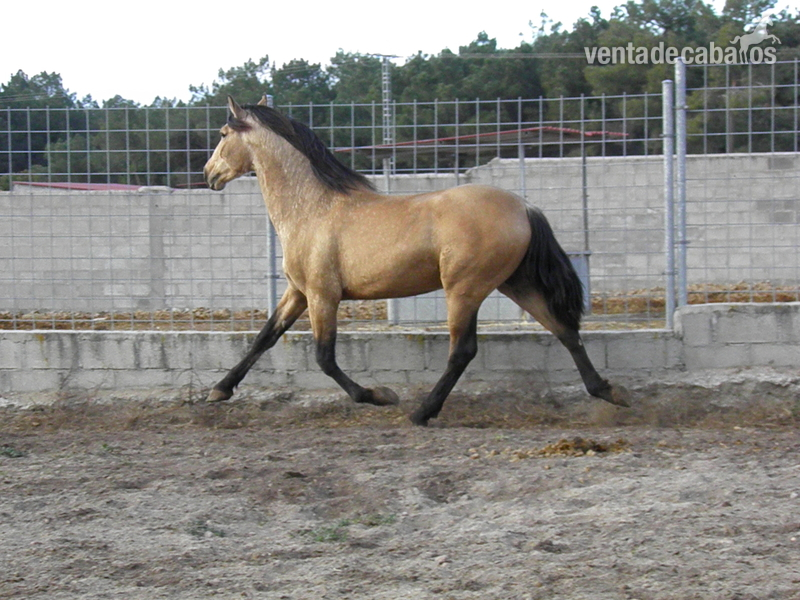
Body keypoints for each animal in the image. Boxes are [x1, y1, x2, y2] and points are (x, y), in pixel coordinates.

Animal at [203, 96, 630, 425]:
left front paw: (380, 395)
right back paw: (610, 392)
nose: (209, 174)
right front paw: (219, 390)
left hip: (465, 289)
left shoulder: (323, 295)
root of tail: (524, 207)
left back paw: (422, 412)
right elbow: (265, 337)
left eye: (223, 134)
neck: (312, 208)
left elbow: (325, 358)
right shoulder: (298, 292)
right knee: (564, 330)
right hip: (516, 284)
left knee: (463, 351)